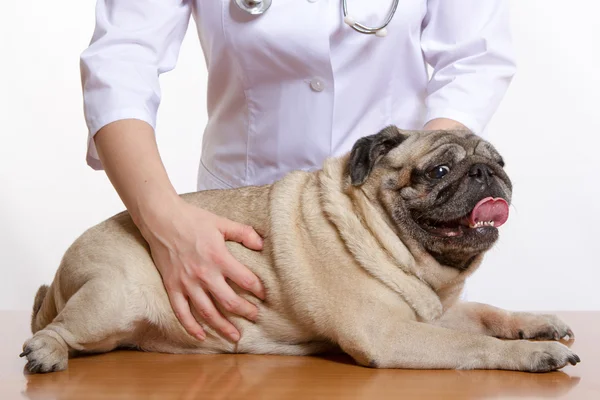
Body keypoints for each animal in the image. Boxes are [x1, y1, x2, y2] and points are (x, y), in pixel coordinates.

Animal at [21, 126, 580, 374]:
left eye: (500, 162)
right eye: (440, 171)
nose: (487, 174)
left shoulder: (429, 314)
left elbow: (487, 314)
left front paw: (537, 325)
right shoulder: (389, 333)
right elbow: (472, 344)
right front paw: (534, 353)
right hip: (114, 297)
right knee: (57, 330)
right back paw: (46, 351)